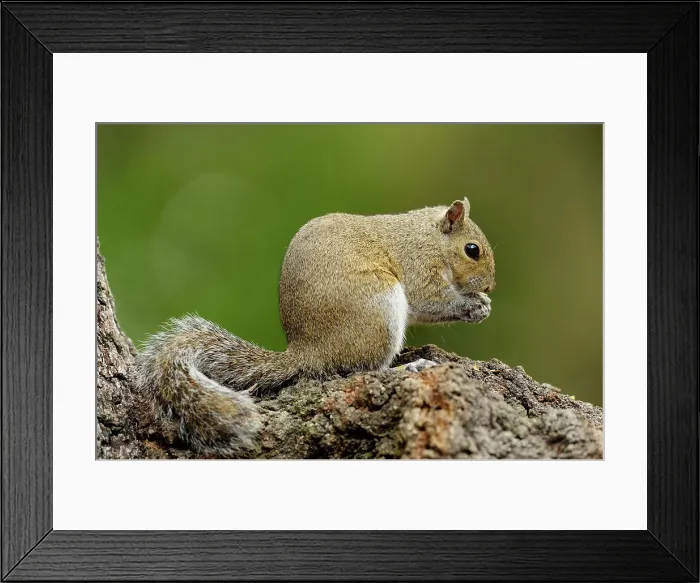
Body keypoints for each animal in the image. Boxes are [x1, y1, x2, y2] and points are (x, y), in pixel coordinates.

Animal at [134, 198, 496, 457]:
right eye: (472, 250)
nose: (491, 286)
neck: (430, 237)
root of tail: (309, 352)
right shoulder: (419, 267)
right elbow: (429, 302)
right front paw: (472, 306)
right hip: (380, 309)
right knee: (364, 370)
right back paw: (409, 366)